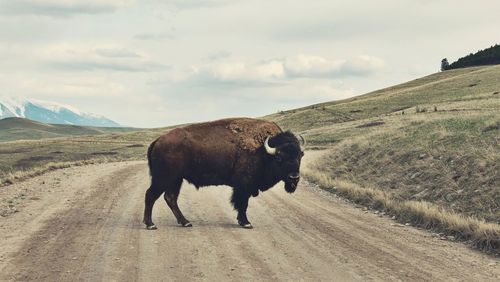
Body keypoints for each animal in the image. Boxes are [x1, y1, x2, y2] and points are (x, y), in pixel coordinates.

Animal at [143, 117, 302, 229]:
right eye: (280, 158)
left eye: (301, 155)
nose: (294, 178)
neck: (263, 151)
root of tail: (157, 141)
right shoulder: (243, 186)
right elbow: (242, 204)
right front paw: (246, 223)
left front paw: (242, 221)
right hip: (164, 179)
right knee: (151, 195)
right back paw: (150, 224)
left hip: (176, 180)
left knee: (170, 198)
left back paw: (185, 222)